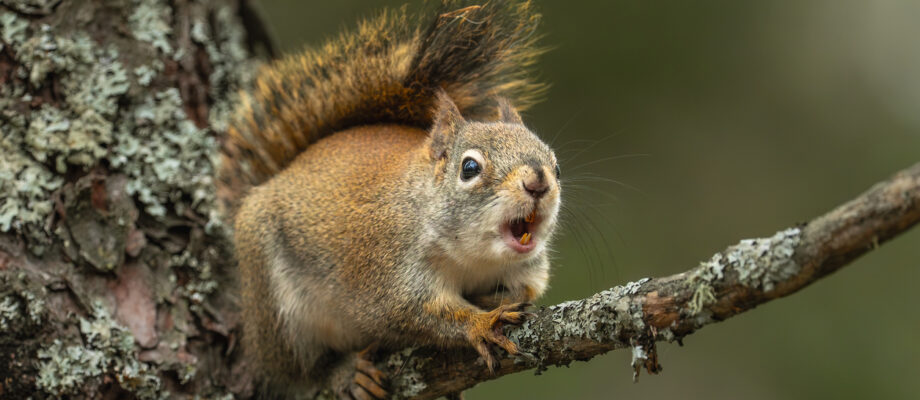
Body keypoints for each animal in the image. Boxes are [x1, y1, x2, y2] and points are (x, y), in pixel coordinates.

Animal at [217, 1, 561, 398]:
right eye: (470, 167)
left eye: (555, 164)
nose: (538, 182)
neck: (473, 259)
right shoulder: (389, 273)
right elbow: (415, 314)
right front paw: (482, 323)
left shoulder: (527, 270)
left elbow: (526, 289)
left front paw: (494, 301)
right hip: (275, 311)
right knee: (296, 375)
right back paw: (345, 375)